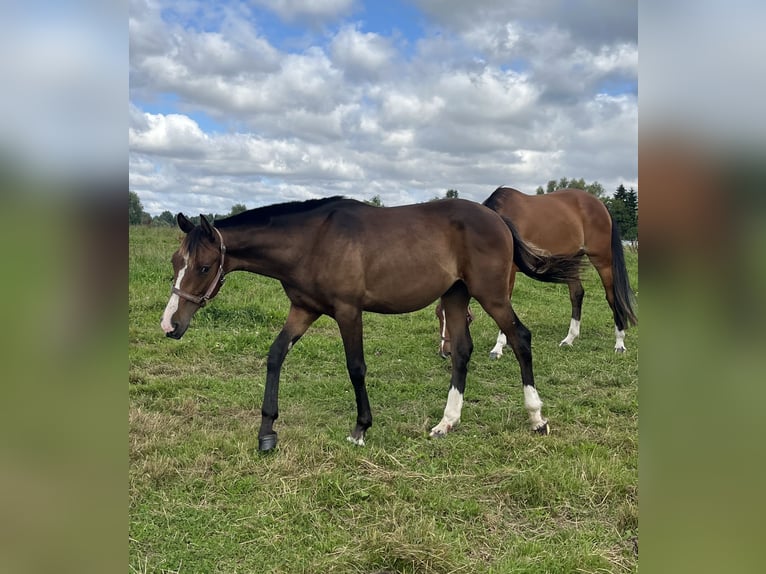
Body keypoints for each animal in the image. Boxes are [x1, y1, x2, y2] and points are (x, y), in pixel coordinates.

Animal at [160, 198, 584, 454]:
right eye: (175, 261)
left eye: (204, 267)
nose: (170, 325)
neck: (313, 241)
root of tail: (496, 218)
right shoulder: (303, 310)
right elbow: (275, 355)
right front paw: (267, 432)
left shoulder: (348, 312)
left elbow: (356, 368)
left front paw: (360, 428)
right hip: (455, 295)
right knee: (462, 352)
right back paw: (446, 423)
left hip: (492, 294)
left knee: (520, 339)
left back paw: (536, 418)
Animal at [440, 187, 640, 358]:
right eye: (438, 316)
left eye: (466, 317)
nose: (445, 353)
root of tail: (600, 204)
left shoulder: (508, 273)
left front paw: (498, 347)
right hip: (572, 262)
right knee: (577, 295)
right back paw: (569, 338)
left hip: (603, 260)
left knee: (612, 296)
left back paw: (619, 343)